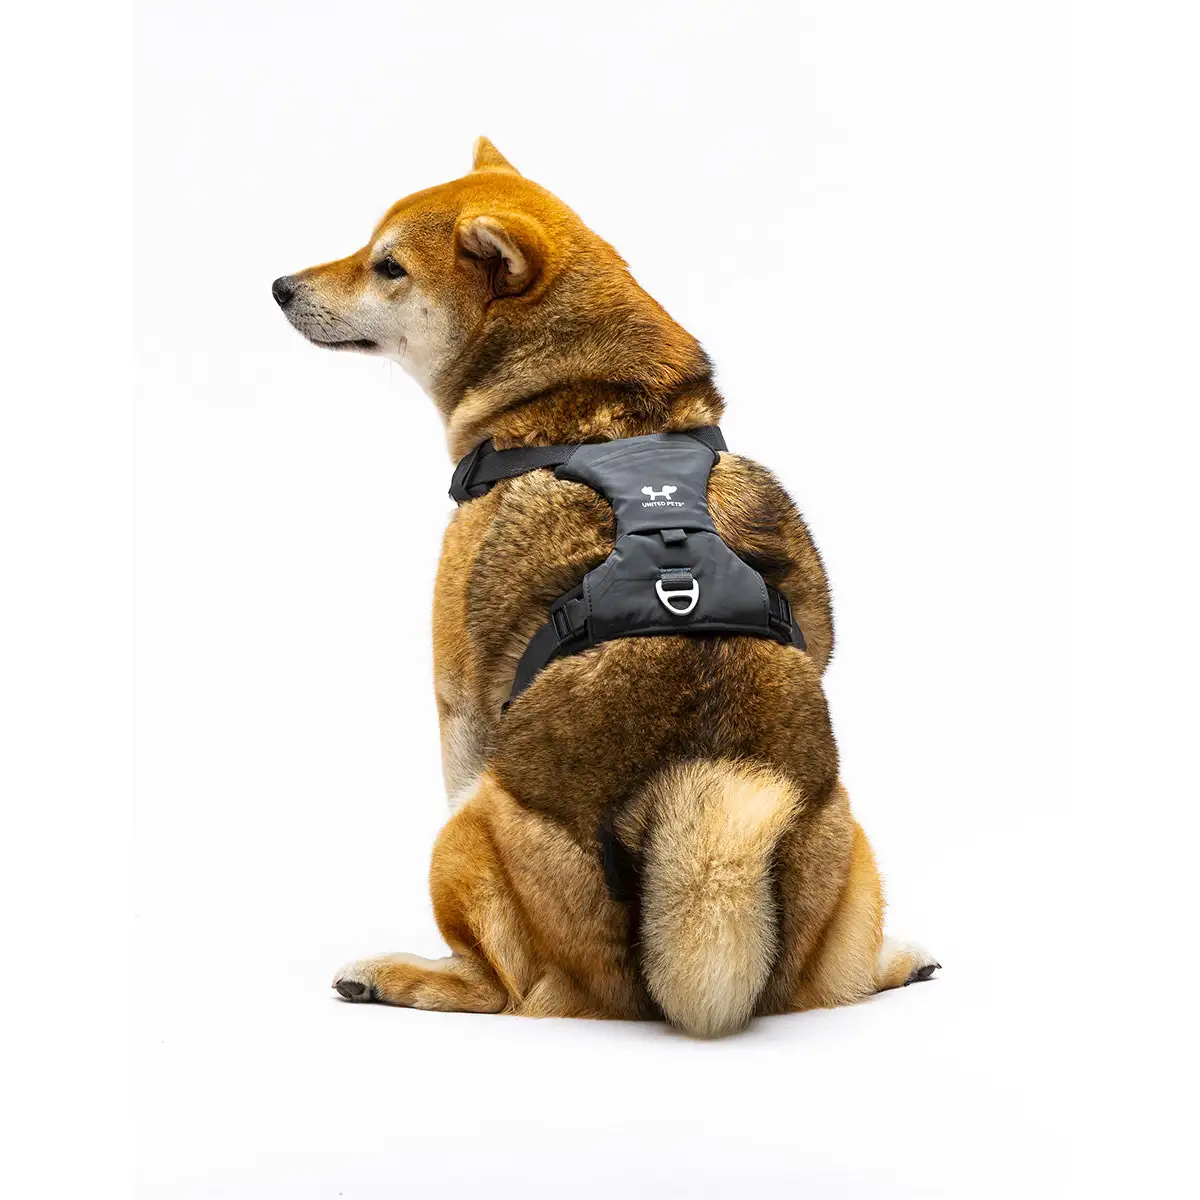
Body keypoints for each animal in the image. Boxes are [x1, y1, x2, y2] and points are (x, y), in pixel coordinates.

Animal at [272, 137, 938, 1036]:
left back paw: (394, 974)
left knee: (506, 990)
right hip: (849, 843)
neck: (602, 405)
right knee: (834, 981)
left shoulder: (457, 702)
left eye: (389, 267)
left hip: (467, 840)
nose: (280, 286)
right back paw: (898, 960)